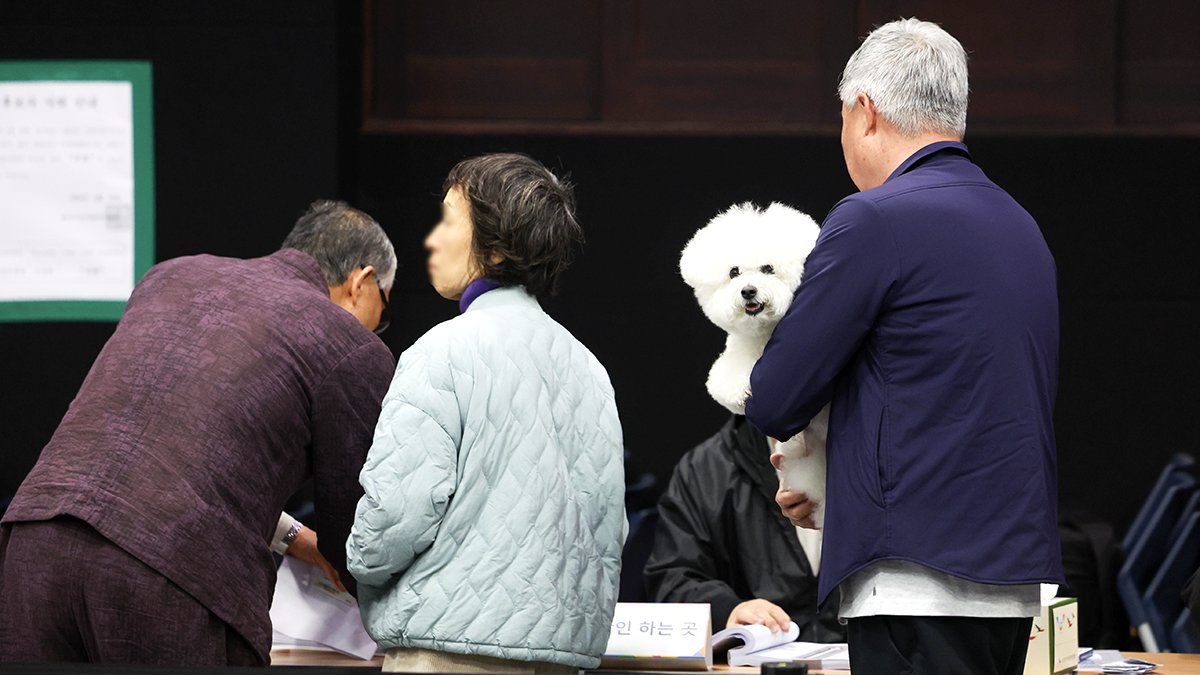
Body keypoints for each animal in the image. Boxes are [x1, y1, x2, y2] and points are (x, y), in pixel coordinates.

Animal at [681, 201, 830, 528]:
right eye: (733, 272)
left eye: (768, 269)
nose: (748, 290)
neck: (766, 336)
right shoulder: (733, 361)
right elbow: (726, 382)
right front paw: (741, 390)